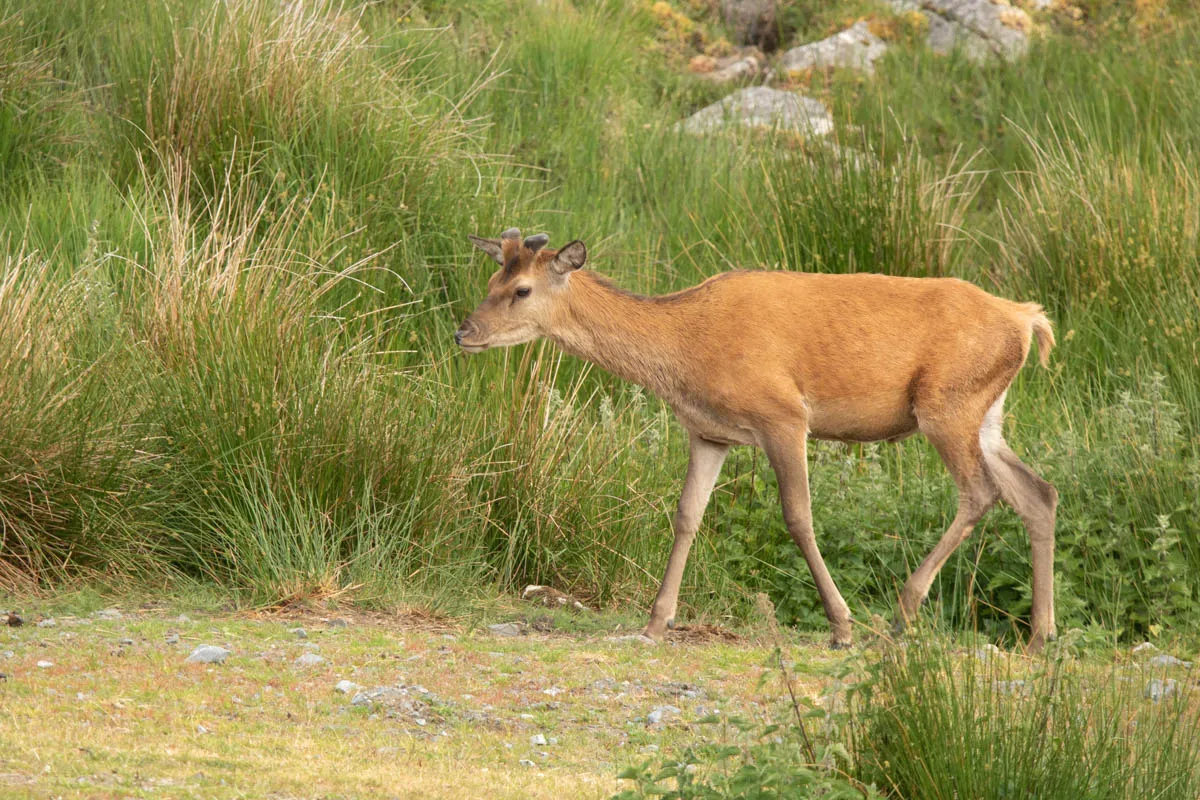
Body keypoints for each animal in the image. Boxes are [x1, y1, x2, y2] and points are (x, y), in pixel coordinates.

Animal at [451, 227, 1060, 652]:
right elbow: (687, 515)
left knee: (981, 492)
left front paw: (841, 626)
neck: (684, 353)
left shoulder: (783, 416)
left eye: (522, 289)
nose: (464, 332)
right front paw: (655, 623)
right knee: (1038, 492)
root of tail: (1028, 318)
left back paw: (901, 613)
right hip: (985, 412)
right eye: (490, 283)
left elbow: (798, 516)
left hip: (946, 404)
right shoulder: (708, 433)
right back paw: (1039, 636)